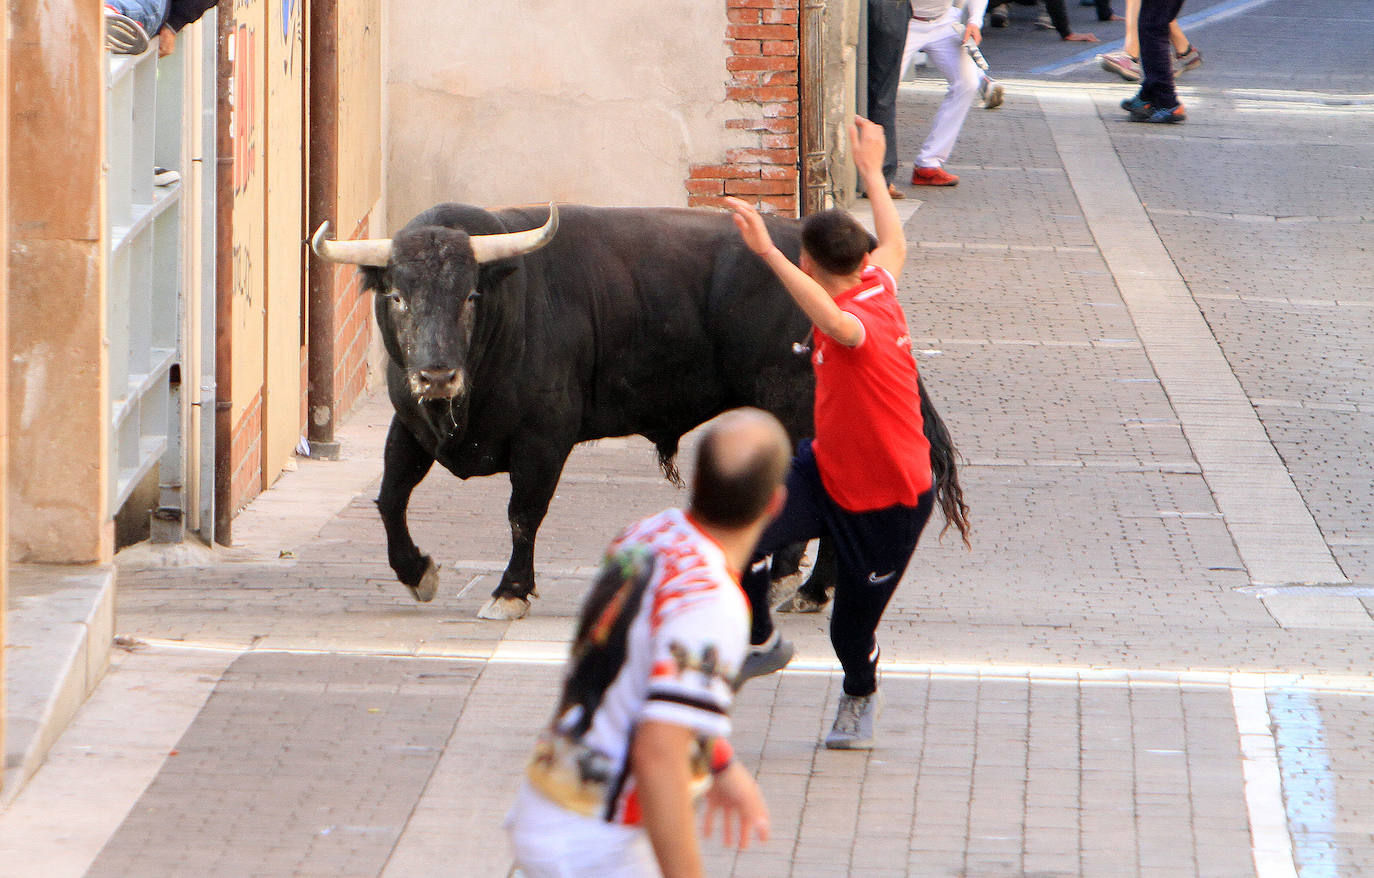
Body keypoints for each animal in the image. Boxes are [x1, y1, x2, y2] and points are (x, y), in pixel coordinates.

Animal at [313, 204, 967, 618]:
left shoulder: (543, 440)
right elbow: (390, 499)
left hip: (798, 410)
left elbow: (523, 515)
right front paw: (416, 572)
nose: (437, 375)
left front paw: (511, 592)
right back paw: (810, 587)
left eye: (471, 296)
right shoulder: (410, 425)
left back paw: (801, 582)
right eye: (397, 296)